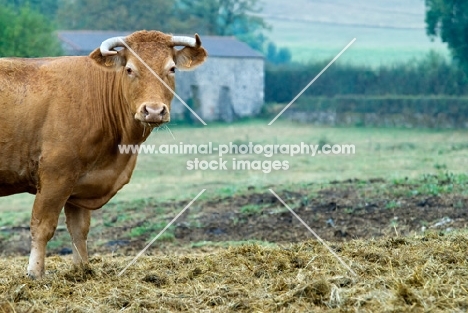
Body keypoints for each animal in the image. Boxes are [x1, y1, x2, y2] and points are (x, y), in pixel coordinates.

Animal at [0, 29, 207, 278]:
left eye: (172, 68)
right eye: (129, 69)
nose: (154, 110)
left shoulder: (79, 184)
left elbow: (79, 230)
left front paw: (82, 270)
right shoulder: (55, 176)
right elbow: (42, 226)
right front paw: (35, 274)